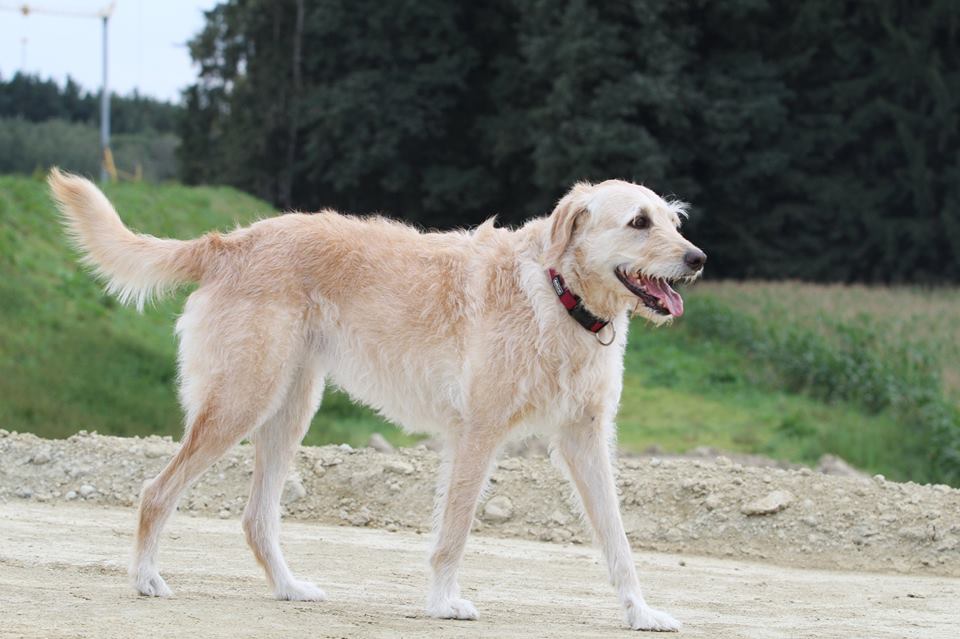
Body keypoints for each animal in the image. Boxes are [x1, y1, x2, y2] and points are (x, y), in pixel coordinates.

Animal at [47, 171, 704, 636]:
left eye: (673, 221)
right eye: (638, 221)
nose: (698, 259)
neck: (556, 293)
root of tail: (230, 242)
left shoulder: (586, 441)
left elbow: (619, 542)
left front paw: (640, 613)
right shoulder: (477, 434)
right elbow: (454, 532)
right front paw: (442, 604)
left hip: (289, 413)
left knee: (257, 518)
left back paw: (289, 589)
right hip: (239, 403)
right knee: (156, 491)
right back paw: (145, 578)